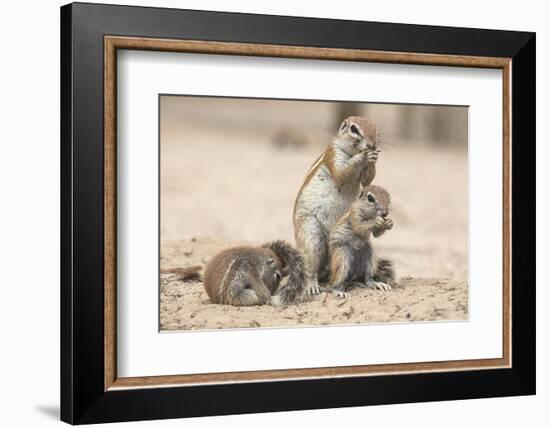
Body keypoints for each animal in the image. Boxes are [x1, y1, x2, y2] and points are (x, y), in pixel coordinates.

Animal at [296, 115, 382, 296]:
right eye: (354, 129)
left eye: (376, 130)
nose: (372, 145)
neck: (352, 151)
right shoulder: (334, 154)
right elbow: (342, 172)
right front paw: (364, 156)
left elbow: (367, 180)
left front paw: (373, 158)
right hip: (310, 233)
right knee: (311, 267)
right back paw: (312, 285)